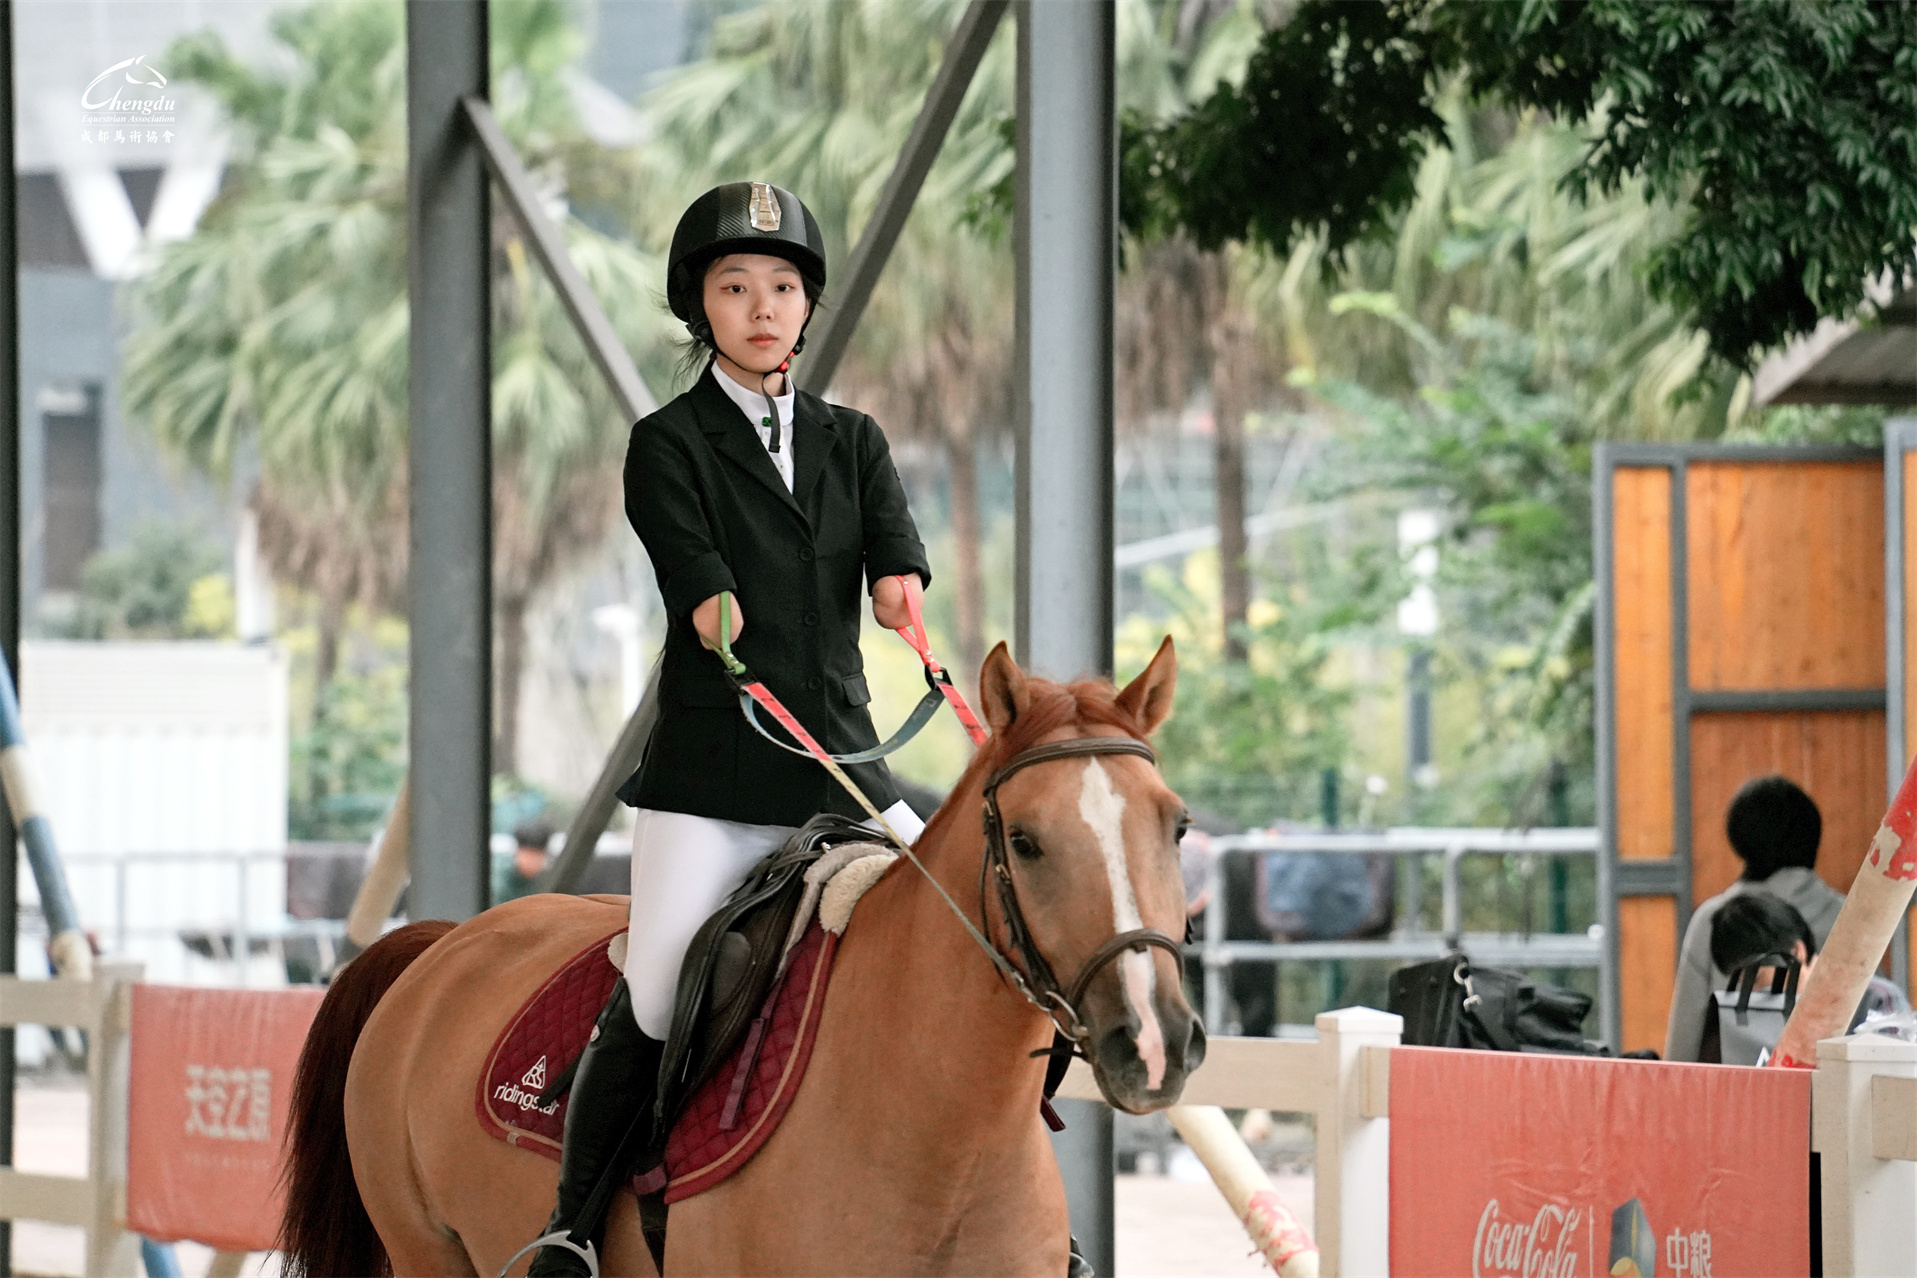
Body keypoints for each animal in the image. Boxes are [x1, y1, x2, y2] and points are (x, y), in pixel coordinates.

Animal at [279, 639, 1206, 1277]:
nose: (1151, 1044)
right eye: (1025, 840)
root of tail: (445, 945)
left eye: (1178, 824)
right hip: (425, 1252)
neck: (943, 1138)